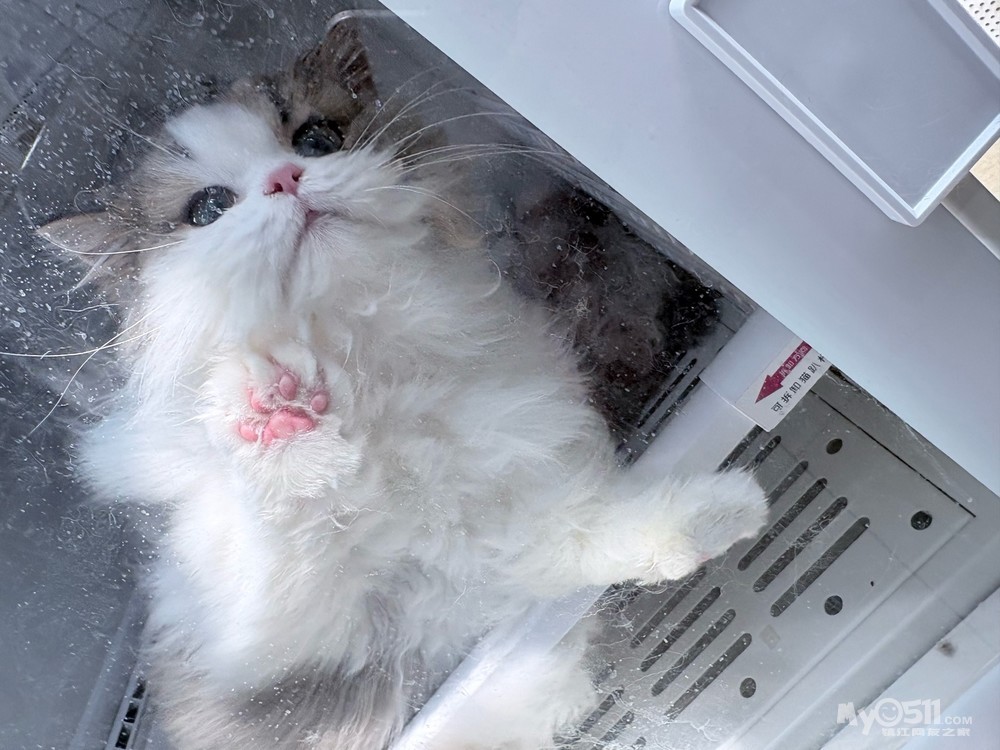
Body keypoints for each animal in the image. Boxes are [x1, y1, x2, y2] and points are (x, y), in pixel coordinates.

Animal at [39, 21, 767, 750]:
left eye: (317, 138)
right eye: (209, 208)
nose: (285, 178)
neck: (371, 370)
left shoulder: (517, 523)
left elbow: (589, 537)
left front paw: (723, 513)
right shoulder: (268, 657)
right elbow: (278, 548)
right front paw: (272, 410)